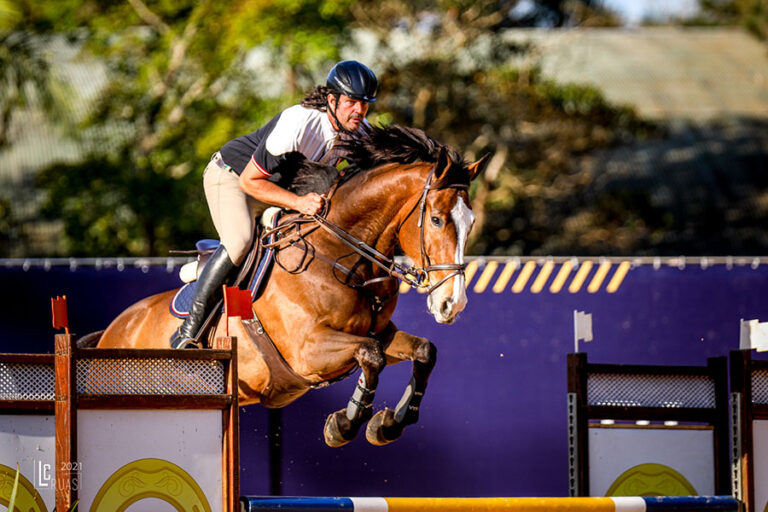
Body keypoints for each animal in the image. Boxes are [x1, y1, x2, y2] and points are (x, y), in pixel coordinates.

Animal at [96, 126, 488, 446]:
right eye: (435, 219)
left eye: (470, 222)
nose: (453, 304)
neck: (341, 256)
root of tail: (109, 333)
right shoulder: (307, 349)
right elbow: (371, 356)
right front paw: (344, 425)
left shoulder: (378, 333)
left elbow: (423, 351)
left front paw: (387, 424)